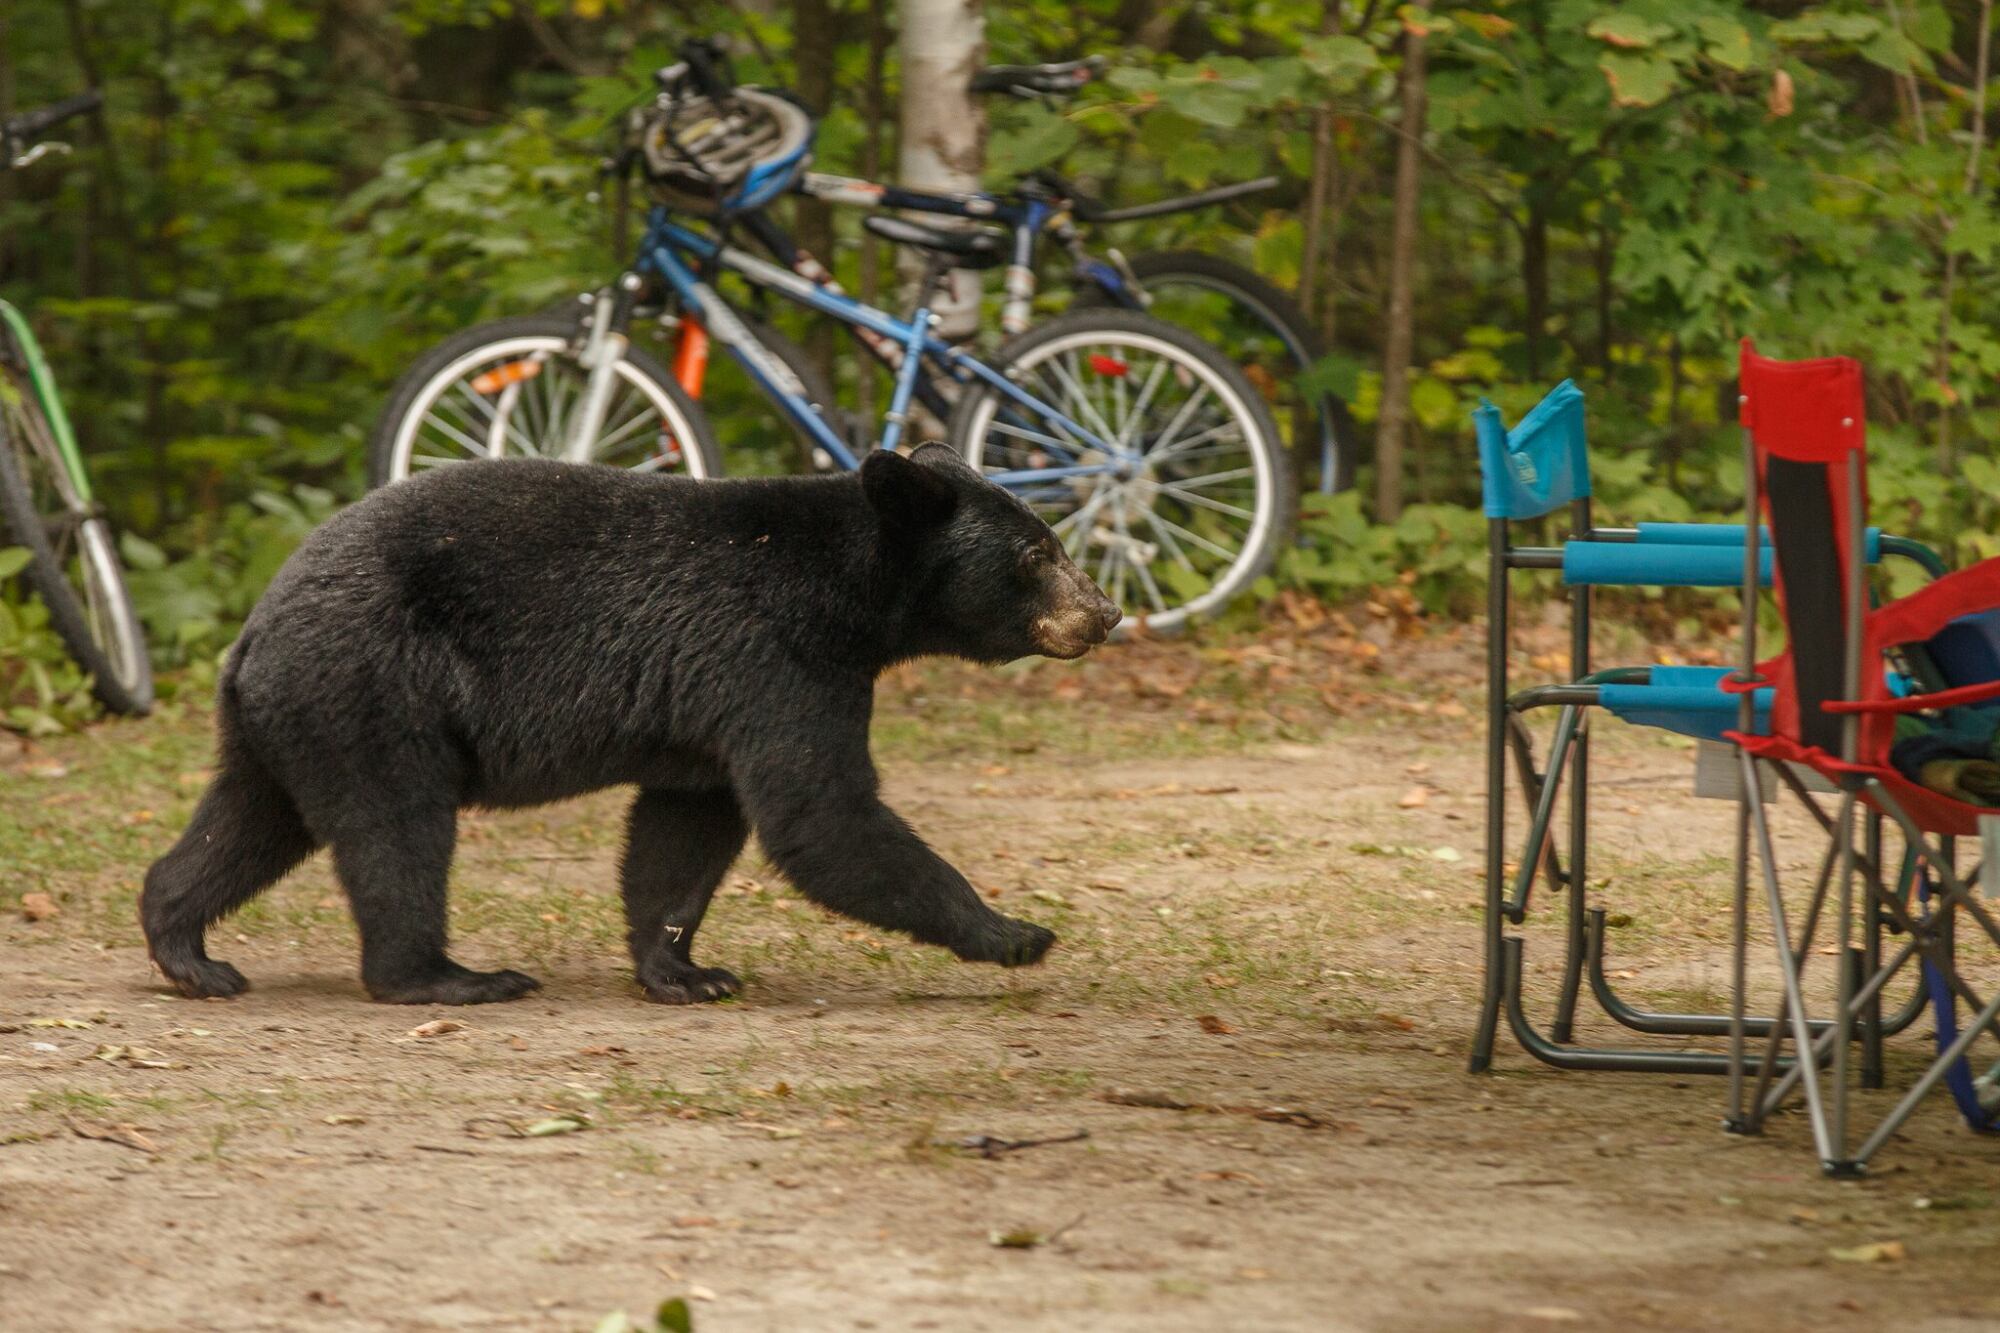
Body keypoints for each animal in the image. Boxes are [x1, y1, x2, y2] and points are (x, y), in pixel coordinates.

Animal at [140, 444, 1120, 1005]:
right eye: (1039, 551)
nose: (1105, 612)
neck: (849, 596)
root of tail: (255, 627)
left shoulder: (712, 709)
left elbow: (683, 831)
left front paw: (686, 969)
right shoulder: (776, 659)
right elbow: (822, 815)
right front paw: (1016, 932)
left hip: (294, 715)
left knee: (251, 819)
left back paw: (189, 950)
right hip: (375, 685)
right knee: (397, 831)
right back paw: (450, 976)